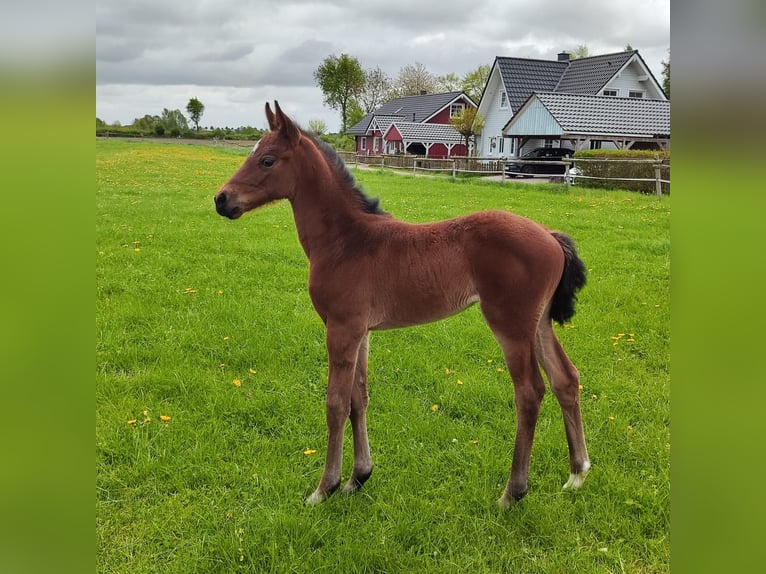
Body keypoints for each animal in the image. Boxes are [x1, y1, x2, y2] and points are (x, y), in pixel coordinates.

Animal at [214, 101, 590, 507]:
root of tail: (550, 236)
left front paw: (325, 487)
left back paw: (513, 492)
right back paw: (577, 474)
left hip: (511, 326)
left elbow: (335, 403)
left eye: (267, 160)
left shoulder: (341, 329)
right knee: (565, 379)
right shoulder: (361, 332)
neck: (346, 240)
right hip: (539, 323)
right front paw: (358, 477)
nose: (221, 199)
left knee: (530, 392)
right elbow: (358, 398)